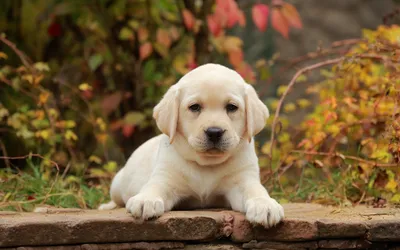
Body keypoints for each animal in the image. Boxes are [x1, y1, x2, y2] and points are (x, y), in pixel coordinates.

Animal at [101, 63, 286, 228]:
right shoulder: (165, 178)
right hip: (117, 185)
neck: (206, 164)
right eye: (195, 107)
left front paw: (265, 205)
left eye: (232, 107)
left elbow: (255, 190)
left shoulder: (243, 179)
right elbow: (154, 187)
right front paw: (146, 200)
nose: (214, 132)